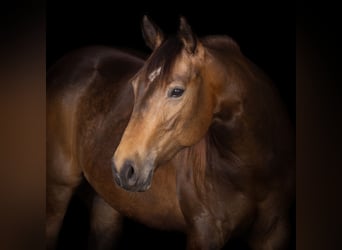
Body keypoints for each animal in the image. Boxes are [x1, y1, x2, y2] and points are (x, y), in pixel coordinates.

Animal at [46, 16, 296, 250]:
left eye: (177, 91)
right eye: (134, 85)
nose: (122, 167)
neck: (252, 170)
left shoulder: (273, 234)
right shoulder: (204, 233)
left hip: (107, 204)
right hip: (58, 189)